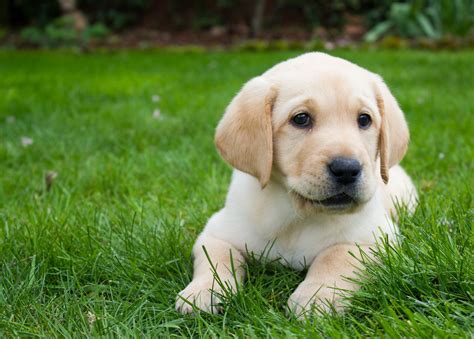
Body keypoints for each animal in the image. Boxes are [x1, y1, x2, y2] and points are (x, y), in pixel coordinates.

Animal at [176, 52, 416, 316]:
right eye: (301, 119)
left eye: (364, 119)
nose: (347, 169)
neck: (297, 214)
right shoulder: (216, 231)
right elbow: (217, 256)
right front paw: (204, 291)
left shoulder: (377, 236)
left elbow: (337, 255)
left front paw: (317, 297)